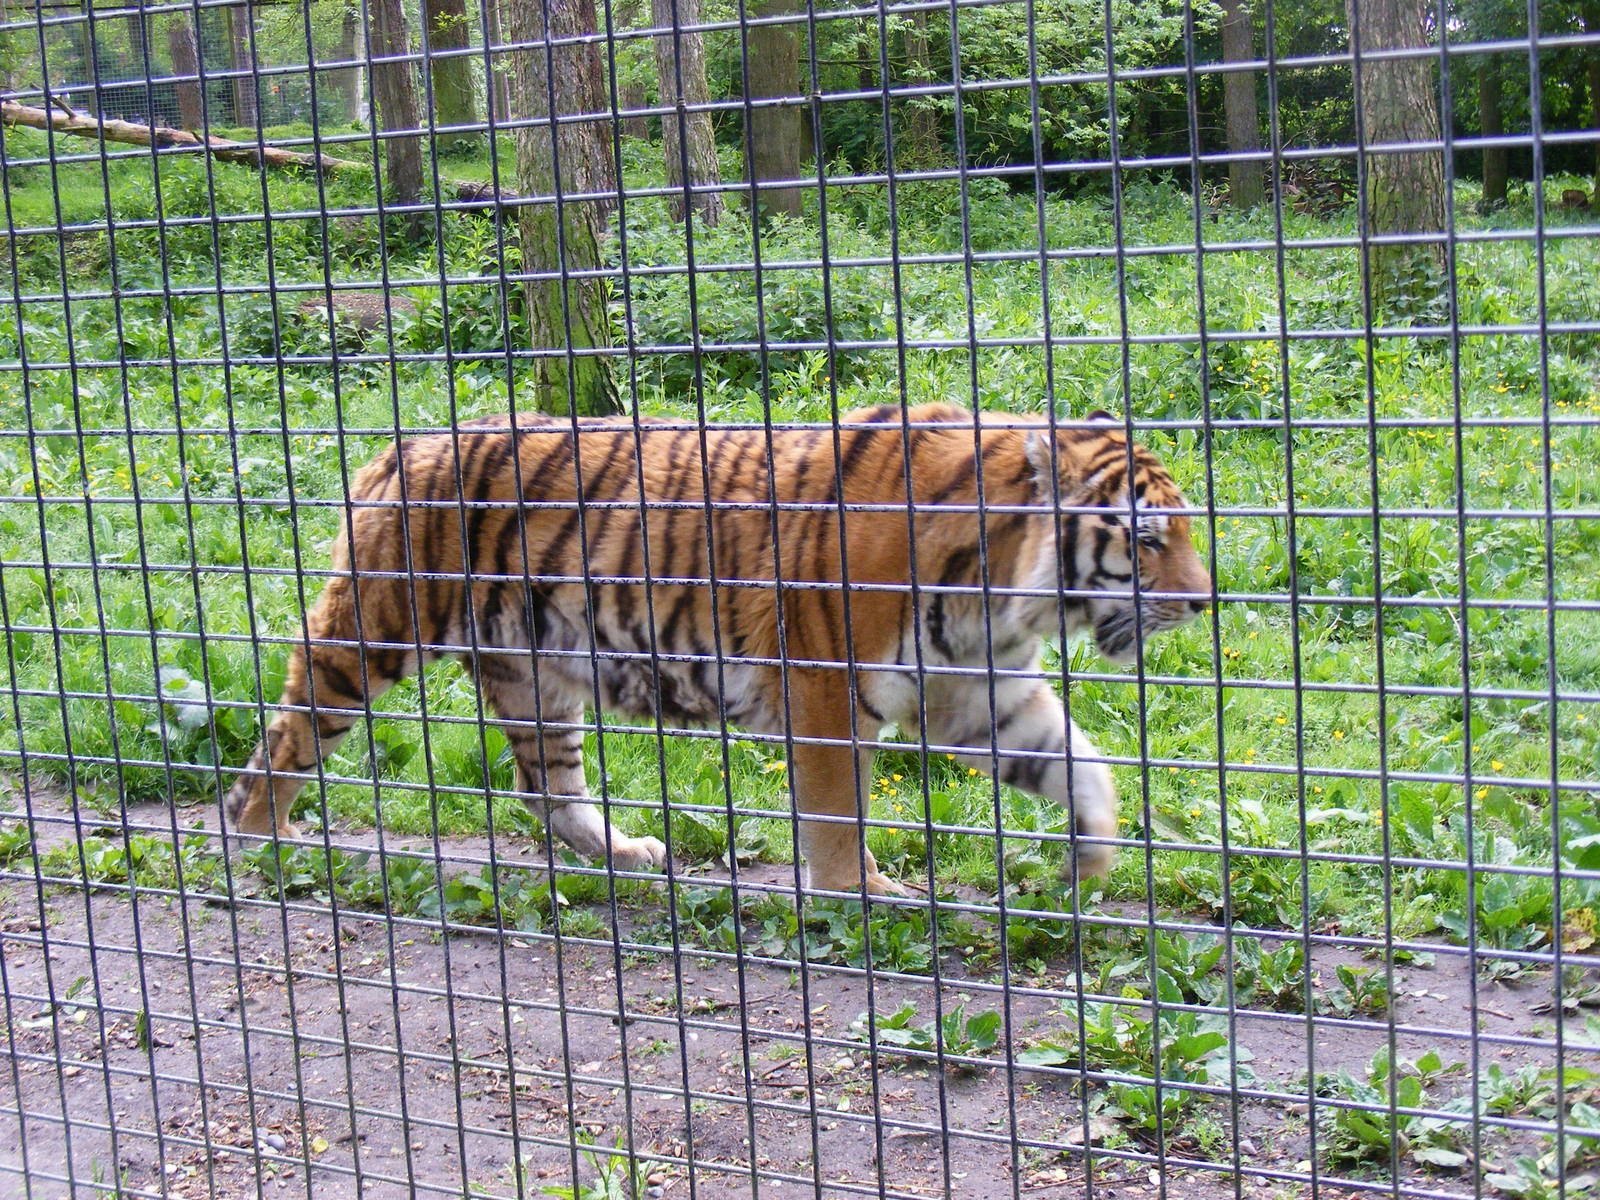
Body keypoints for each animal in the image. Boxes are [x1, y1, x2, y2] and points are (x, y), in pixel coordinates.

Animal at [226, 403, 1211, 896]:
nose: (1205, 602)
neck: (1002, 594)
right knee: (288, 735)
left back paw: (625, 853)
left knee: (546, 786)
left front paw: (1092, 859)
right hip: (372, 634)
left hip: (538, 673)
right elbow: (838, 812)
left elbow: (1080, 763)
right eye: (1148, 539)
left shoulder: (978, 694)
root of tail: (400, 445)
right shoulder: (827, 691)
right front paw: (861, 898)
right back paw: (268, 838)